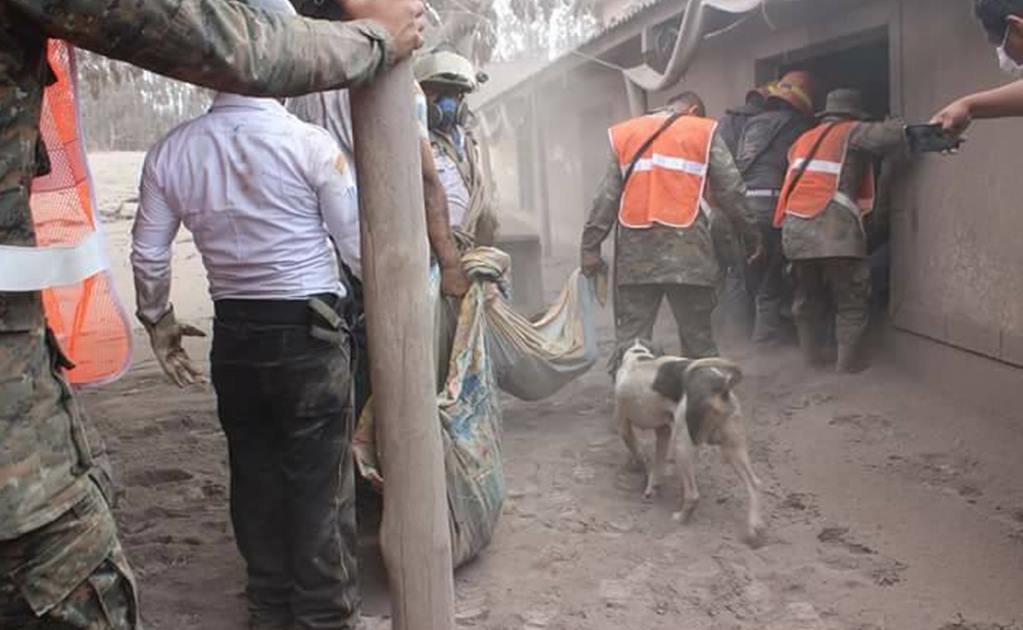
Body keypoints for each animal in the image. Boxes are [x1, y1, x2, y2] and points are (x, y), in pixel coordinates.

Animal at [609, 339, 765, 540]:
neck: (638, 355)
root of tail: (720, 383)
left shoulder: (623, 425)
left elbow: (639, 453)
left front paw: (642, 471)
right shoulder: (663, 432)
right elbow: (658, 464)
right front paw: (652, 487)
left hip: (681, 446)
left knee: (693, 495)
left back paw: (680, 518)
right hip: (733, 448)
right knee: (755, 483)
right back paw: (754, 528)